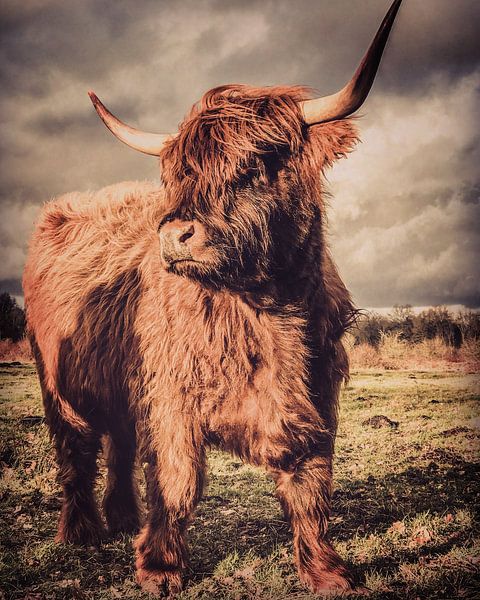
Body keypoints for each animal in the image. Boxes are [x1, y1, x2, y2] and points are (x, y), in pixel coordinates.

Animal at [24, 1, 404, 596]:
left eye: (253, 167)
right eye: (177, 175)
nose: (174, 234)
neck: (267, 311)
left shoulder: (318, 398)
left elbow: (311, 484)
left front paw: (327, 570)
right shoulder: (173, 402)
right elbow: (177, 483)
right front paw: (160, 568)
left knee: (119, 445)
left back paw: (123, 518)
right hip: (57, 386)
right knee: (76, 452)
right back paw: (82, 532)